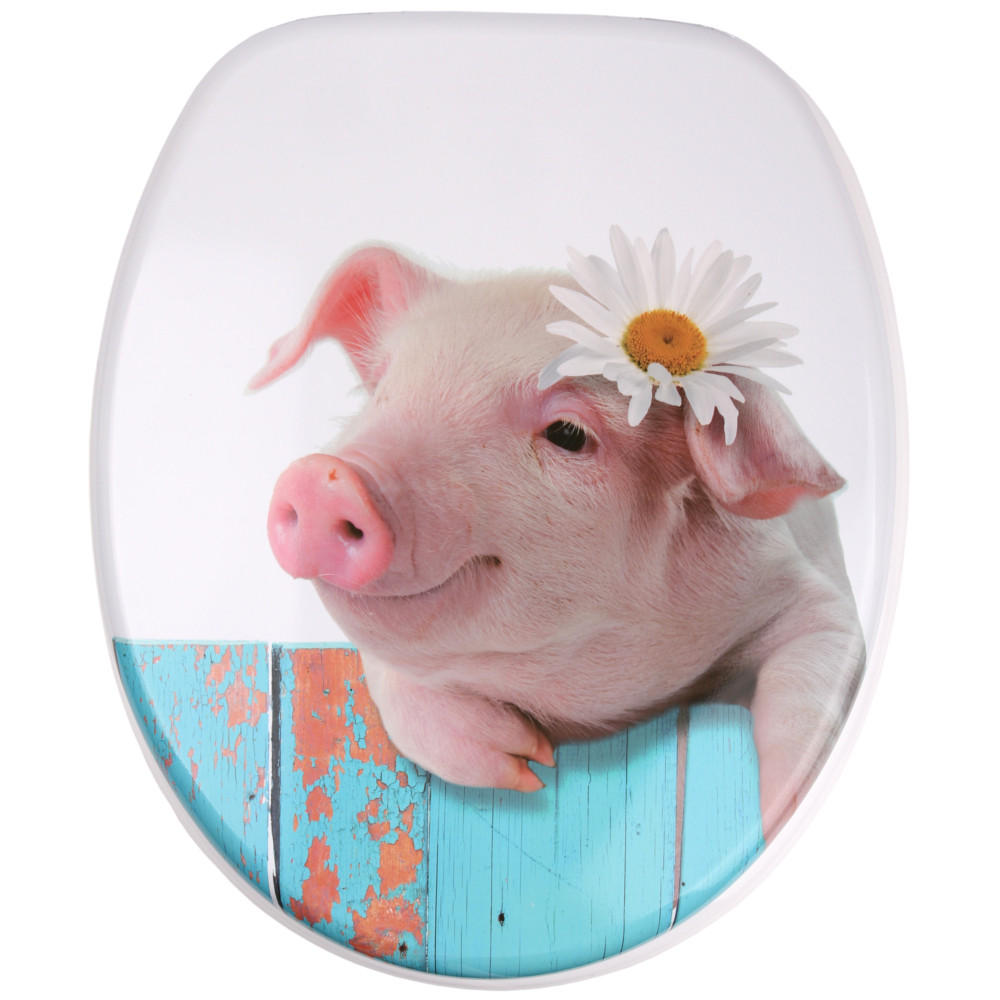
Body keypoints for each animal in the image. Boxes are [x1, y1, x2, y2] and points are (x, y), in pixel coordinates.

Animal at [251, 243, 864, 839]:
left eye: (568, 434)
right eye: (382, 389)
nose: (324, 479)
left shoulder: (808, 595)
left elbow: (809, 690)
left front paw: (783, 808)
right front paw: (526, 764)